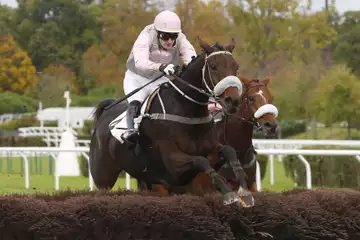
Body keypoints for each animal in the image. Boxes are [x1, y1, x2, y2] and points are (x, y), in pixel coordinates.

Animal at [89, 36, 256, 207]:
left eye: (236, 66)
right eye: (213, 66)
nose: (233, 100)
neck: (187, 111)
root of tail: (106, 112)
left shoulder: (212, 149)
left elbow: (229, 151)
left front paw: (244, 192)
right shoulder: (173, 166)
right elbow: (201, 161)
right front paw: (229, 194)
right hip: (103, 178)